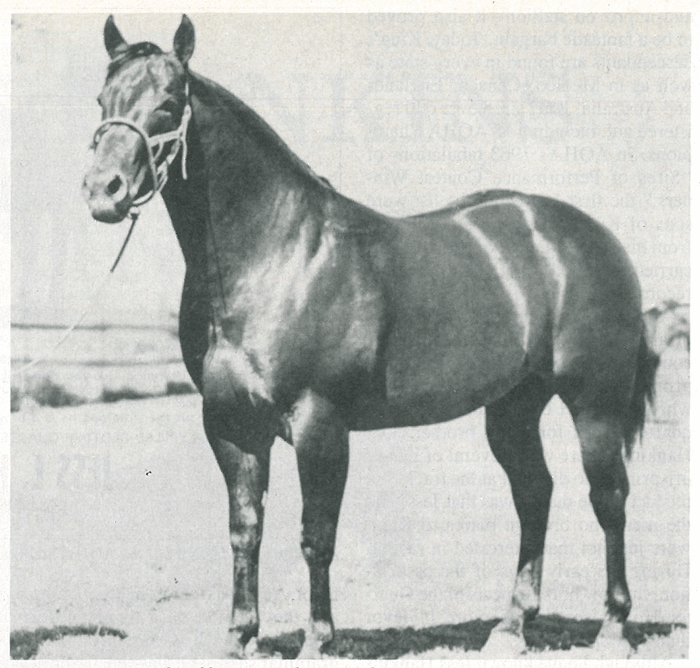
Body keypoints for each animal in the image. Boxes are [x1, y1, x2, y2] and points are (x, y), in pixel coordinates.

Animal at [82, 15, 658, 659]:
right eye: (103, 101)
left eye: (167, 103)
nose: (102, 191)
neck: (278, 252)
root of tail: (591, 235)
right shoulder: (230, 424)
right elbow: (244, 530)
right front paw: (240, 638)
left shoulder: (319, 424)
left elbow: (316, 535)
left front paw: (318, 641)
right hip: (512, 408)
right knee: (534, 494)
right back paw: (510, 628)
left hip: (595, 404)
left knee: (609, 499)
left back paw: (613, 629)